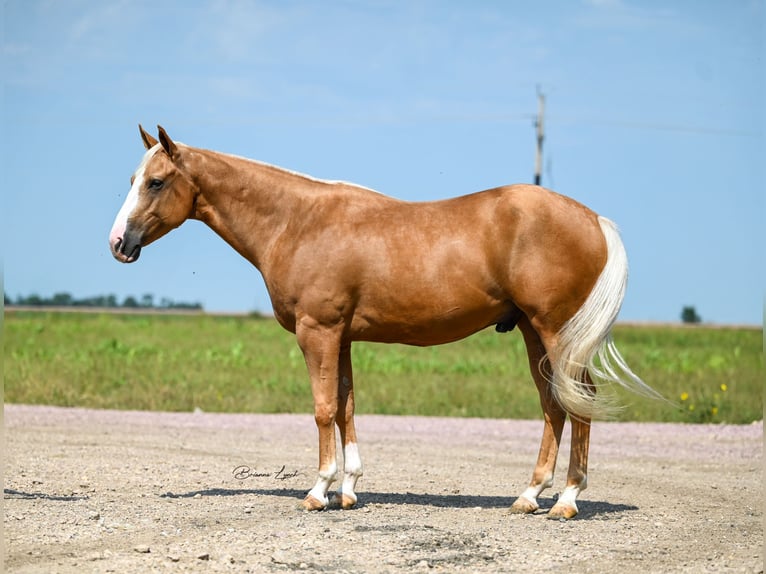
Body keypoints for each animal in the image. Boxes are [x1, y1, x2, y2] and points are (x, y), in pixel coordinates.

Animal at [109, 124, 660, 520]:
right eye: (132, 180)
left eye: (156, 181)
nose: (118, 243)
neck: (297, 222)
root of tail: (593, 219)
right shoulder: (342, 337)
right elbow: (347, 406)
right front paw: (349, 489)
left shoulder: (318, 332)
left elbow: (323, 409)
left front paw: (319, 490)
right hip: (532, 333)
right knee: (553, 405)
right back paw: (529, 495)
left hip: (555, 332)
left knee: (577, 404)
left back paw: (566, 501)